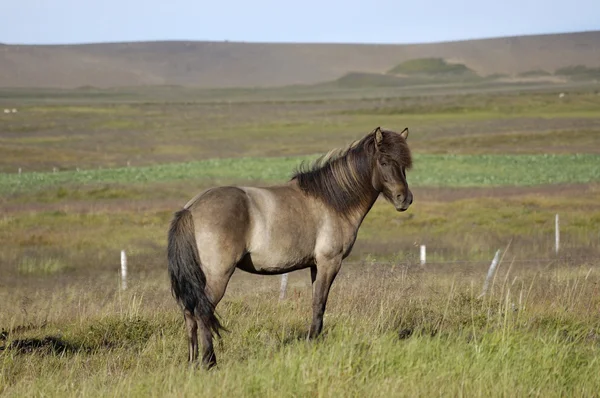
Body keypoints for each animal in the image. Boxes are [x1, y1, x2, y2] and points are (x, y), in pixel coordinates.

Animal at [168, 126, 412, 368]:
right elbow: (320, 303)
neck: (333, 201)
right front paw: (312, 343)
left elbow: (316, 302)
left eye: (404, 164)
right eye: (384, 161)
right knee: (203, 310)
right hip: (218, 276)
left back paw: (192, 361)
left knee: (189, 313)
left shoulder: (315, 266)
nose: (405, 199)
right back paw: (209, 361)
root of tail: (191, 209)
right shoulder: (329, 262)